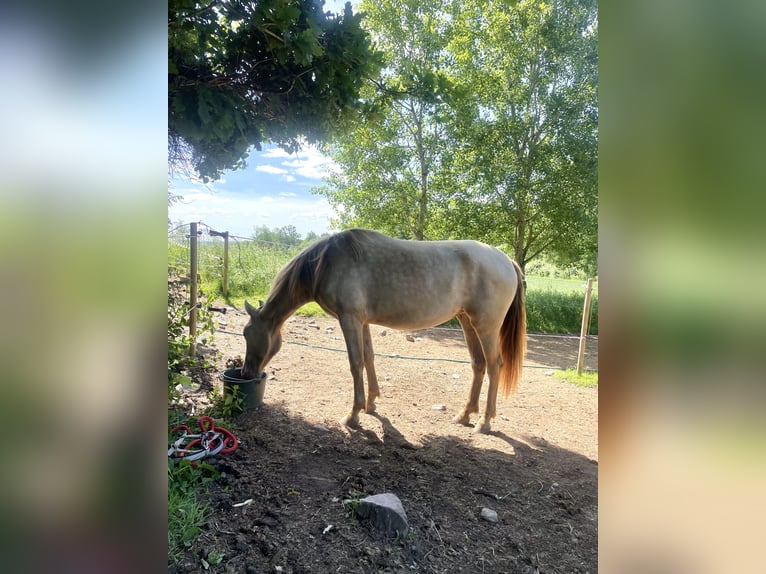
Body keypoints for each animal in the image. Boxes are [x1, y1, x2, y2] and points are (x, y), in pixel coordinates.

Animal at [243, 227, 524, 434]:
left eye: (247, 334)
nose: (246, 373)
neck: (326, 263)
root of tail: (506, 260)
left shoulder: (349, 319)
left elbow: (355, 363)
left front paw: (353, 415)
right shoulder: (362, 322)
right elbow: (368, 358)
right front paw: (371, 403)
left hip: (486, 327)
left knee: (494, 365)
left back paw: (485, 421)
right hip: (468, 322)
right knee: (478, 364)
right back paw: (465, 414)